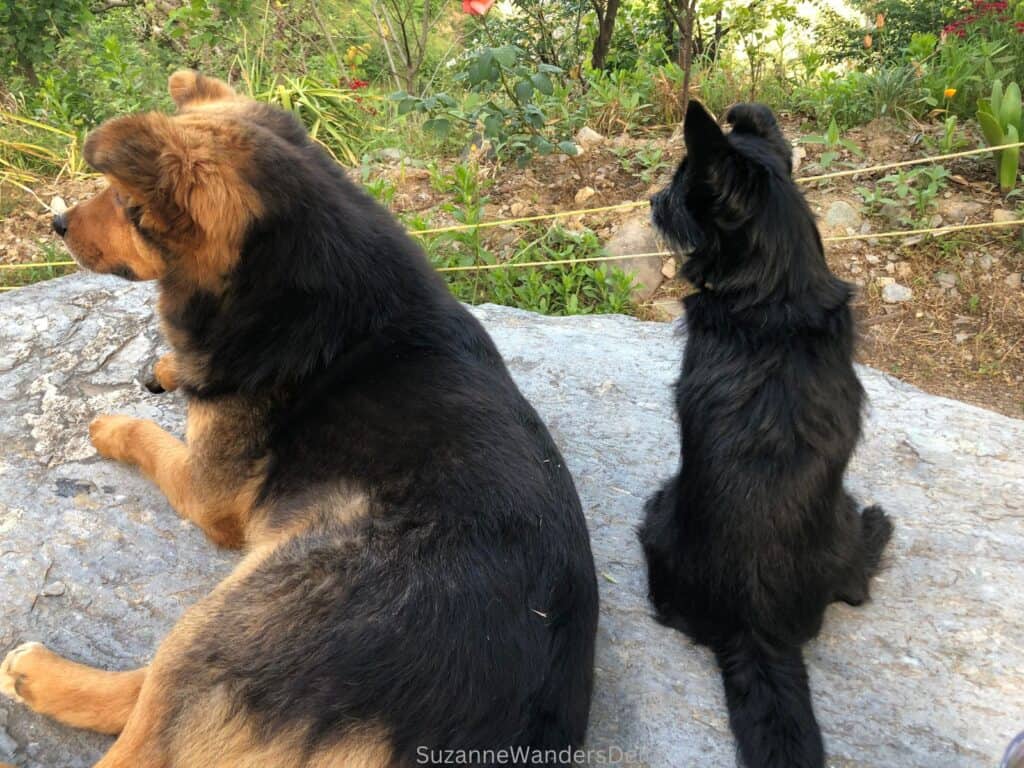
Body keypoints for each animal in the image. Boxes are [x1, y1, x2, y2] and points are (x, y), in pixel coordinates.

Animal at [0, 70, 598, 765]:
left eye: (126, 203)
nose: (57, 221)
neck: (283, 276)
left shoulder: (206, 490)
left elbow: (150, 434)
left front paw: (113, 424)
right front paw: (173, 367)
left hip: (242, 613)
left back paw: (36, 673)